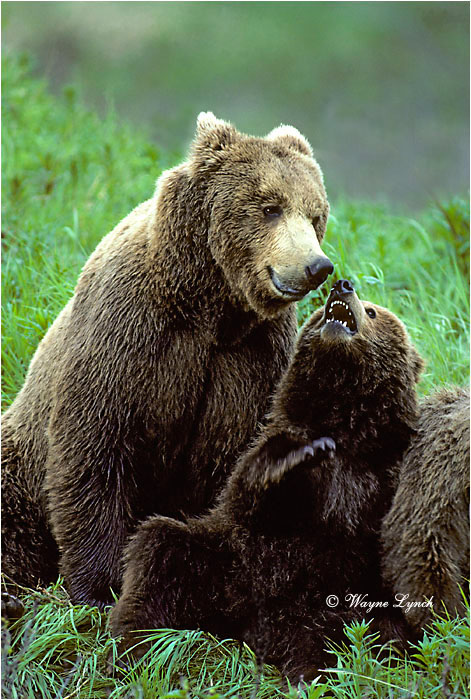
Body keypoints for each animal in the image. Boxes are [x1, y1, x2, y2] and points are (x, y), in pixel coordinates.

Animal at [1, 112, 334, 608]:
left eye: (316, 215)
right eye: (269, 207)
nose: (317, 266)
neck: (208, 305)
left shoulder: (248, 355)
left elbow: (232, 453)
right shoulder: (131, 333)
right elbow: (95, 446)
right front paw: (101, 586)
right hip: (19, 460)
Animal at [110, 279, 425, 682]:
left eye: (372, 311)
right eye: (319, 313)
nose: (342, 285)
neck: (345, 425)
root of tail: (255, 627)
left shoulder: (382, 472)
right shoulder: (272, 449)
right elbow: (251, 494)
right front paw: (298, 455)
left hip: (338, 607)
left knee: (355, 636)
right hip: (223, 563)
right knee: (160, 550)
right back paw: (133, 647)